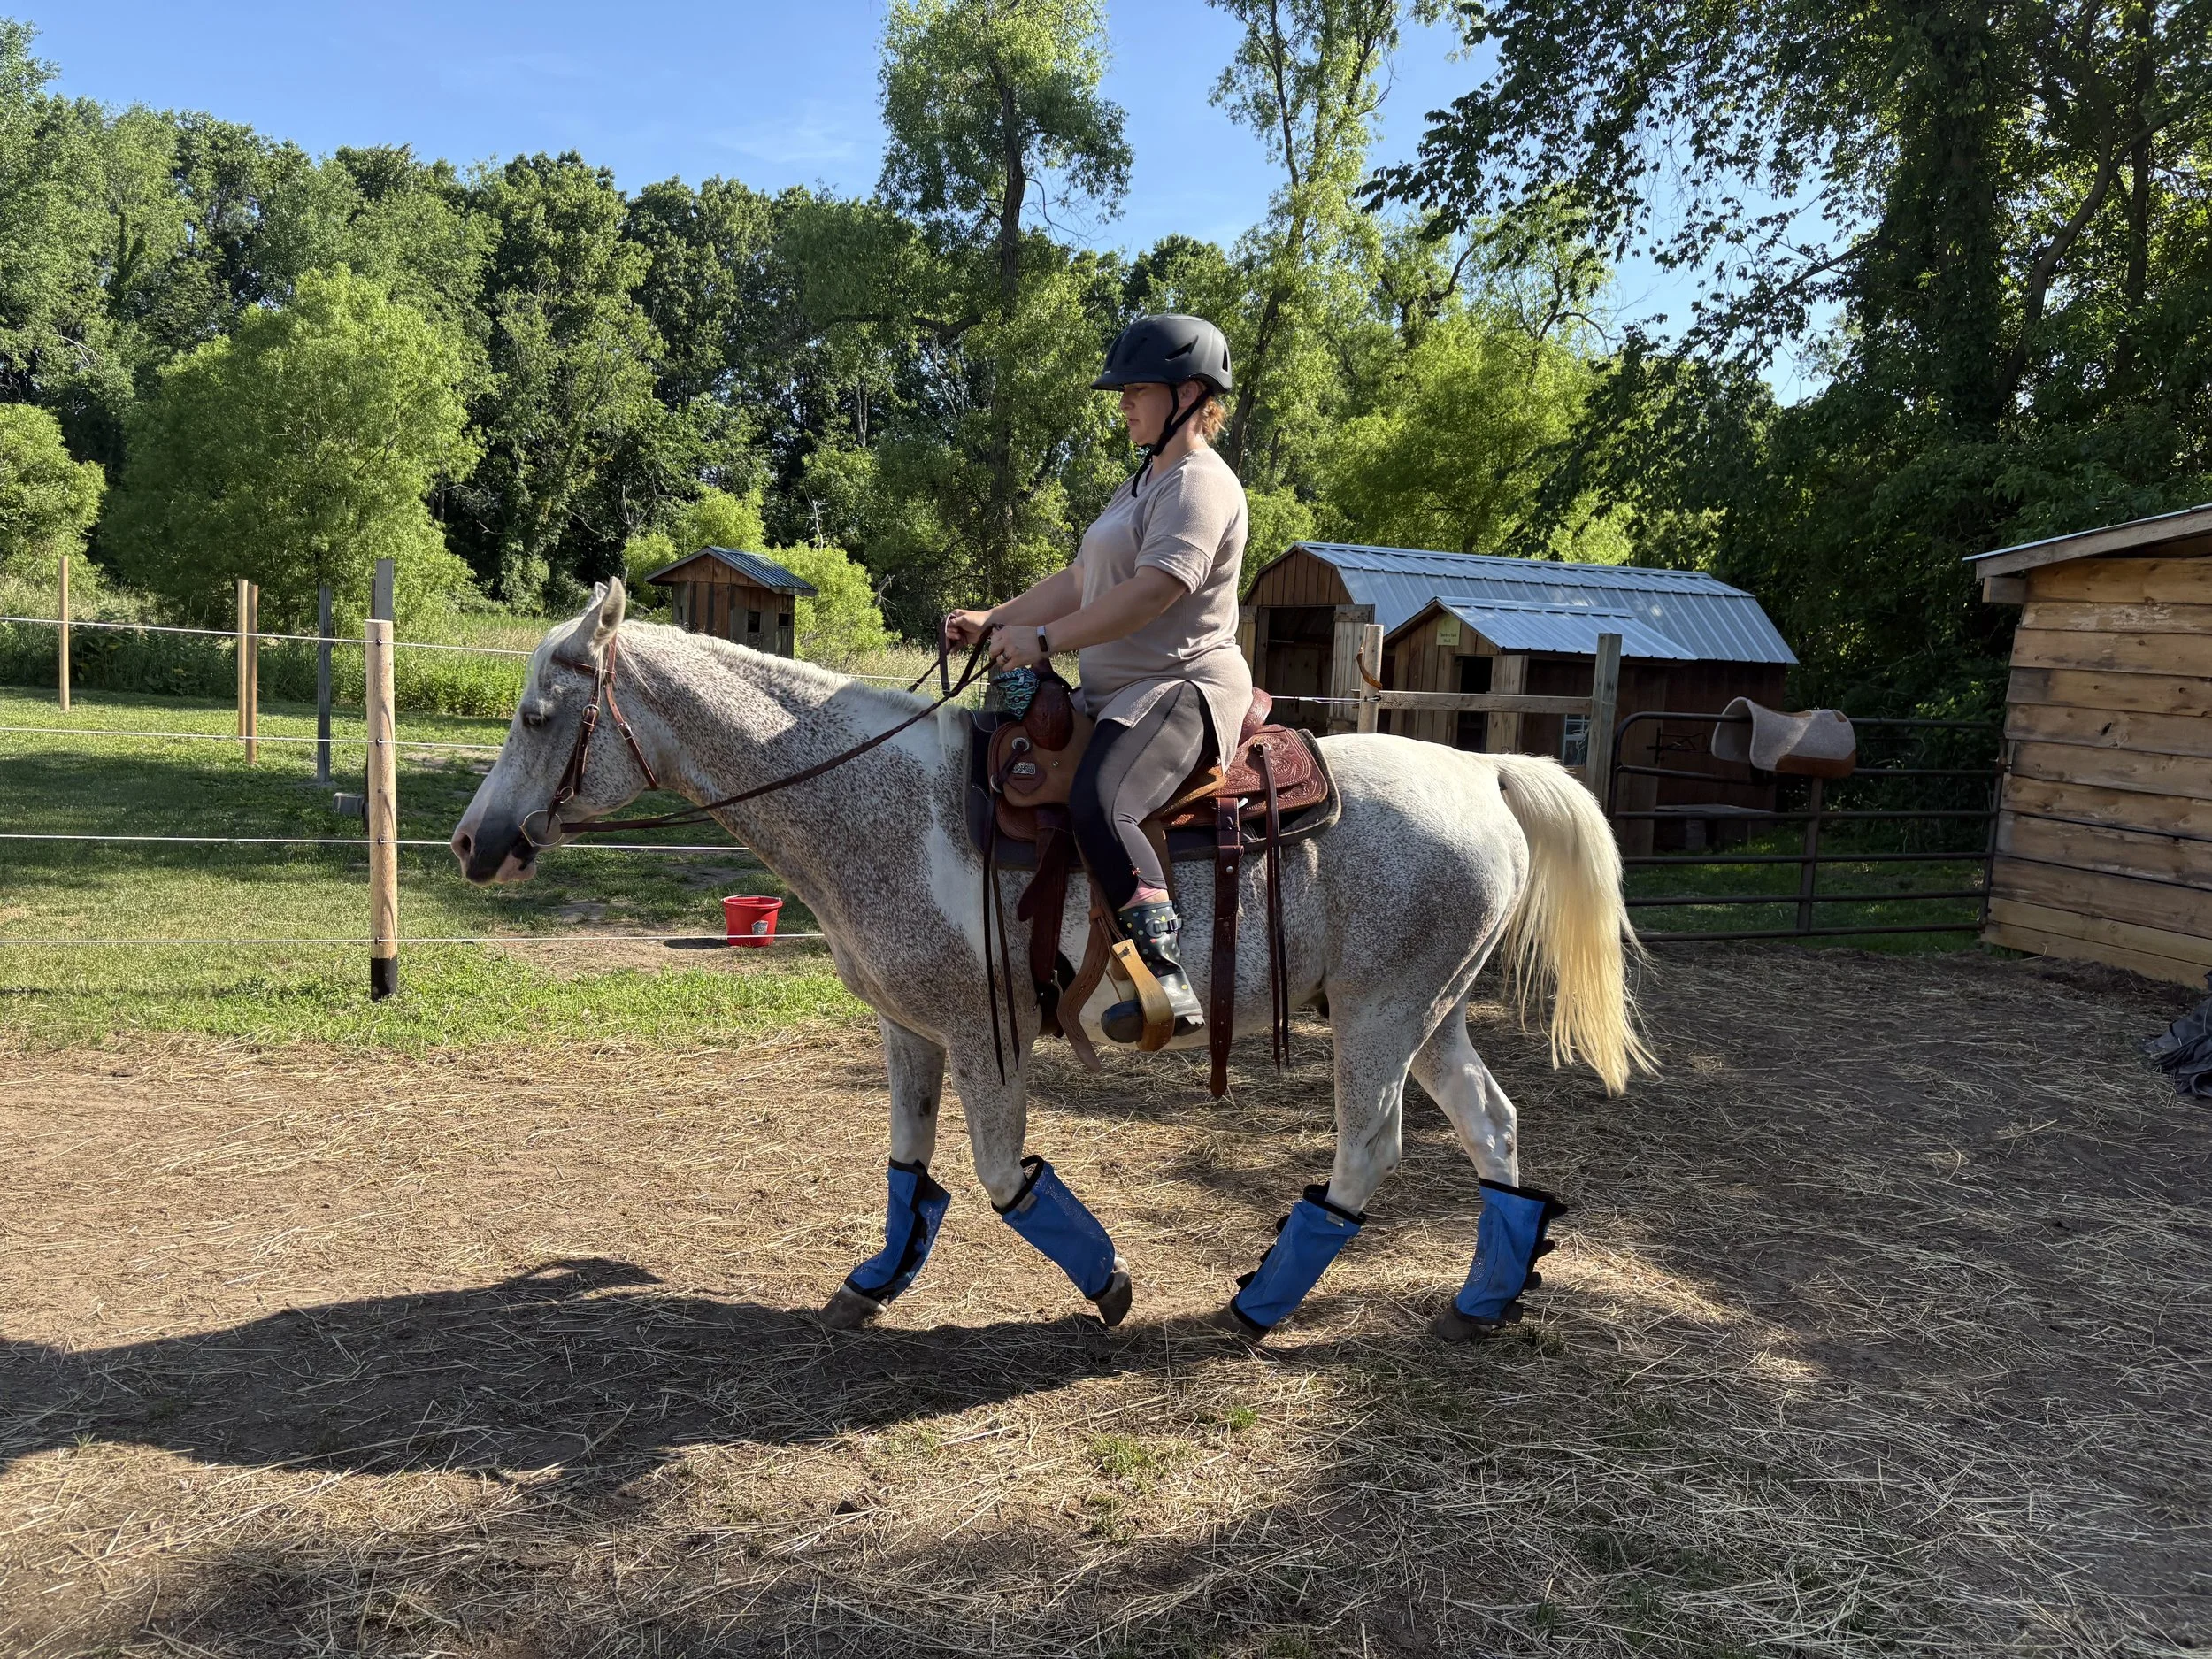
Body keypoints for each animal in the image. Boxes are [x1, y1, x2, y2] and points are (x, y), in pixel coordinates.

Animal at [451, 581, 1649, 1342]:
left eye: (538, 713)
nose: (472, 845)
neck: (885, 804)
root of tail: (1484, 770)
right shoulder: (908, 1028)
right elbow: (908, 1169)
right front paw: (871, 1283)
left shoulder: (987, 1033)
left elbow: (1001, 1181)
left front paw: (1110, 1283)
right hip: (1428, 1013)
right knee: (1492, 1125)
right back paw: (1485, 1301)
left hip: (1380, 1015)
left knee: (1366, 1151)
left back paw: (1259, 1305)